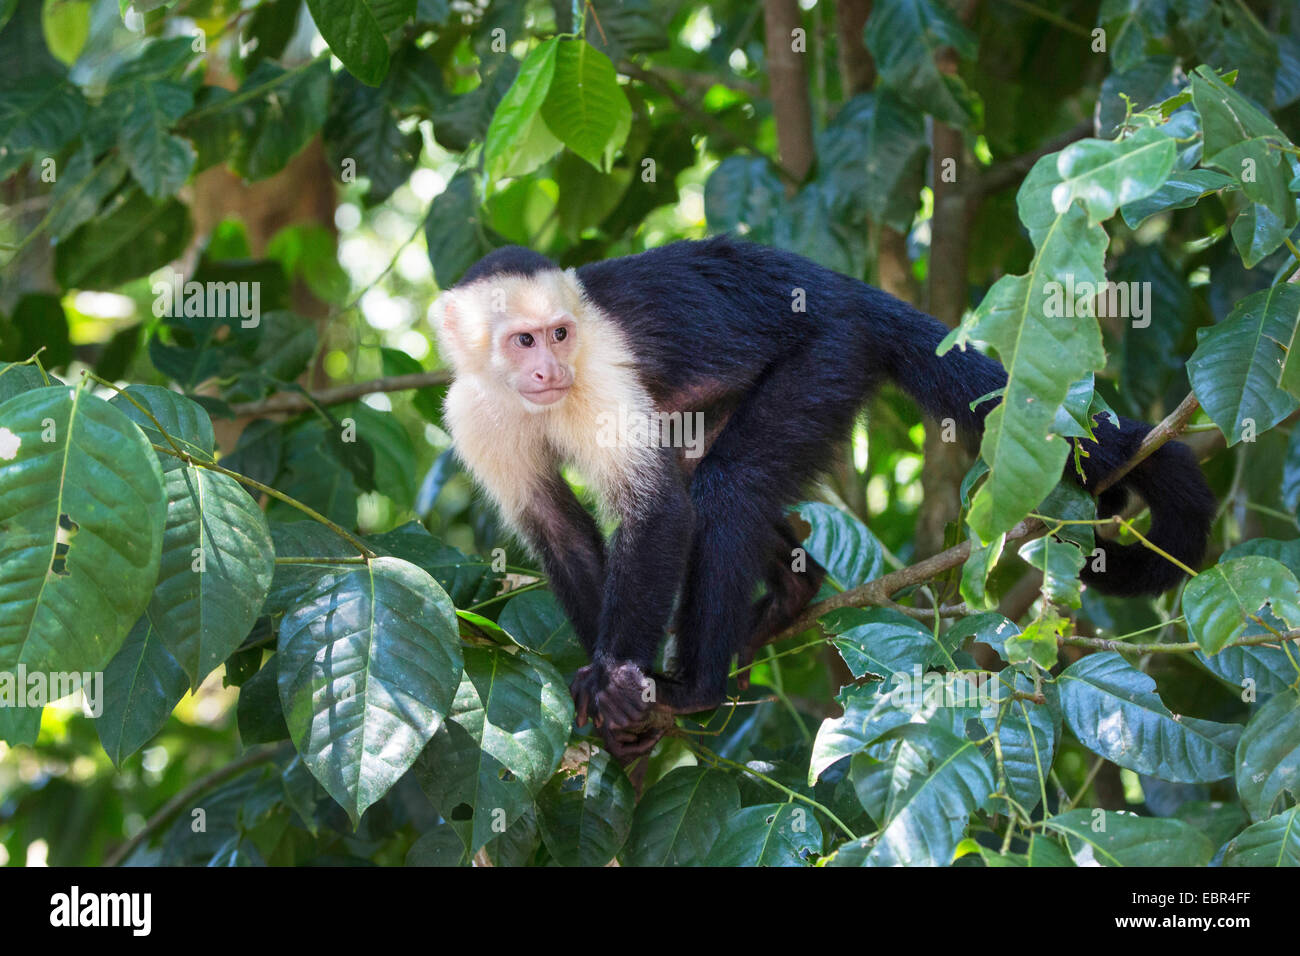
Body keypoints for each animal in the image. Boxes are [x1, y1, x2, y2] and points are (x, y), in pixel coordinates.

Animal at [431, 235, 1211, 759]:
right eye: (523, 341)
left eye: (560, 334)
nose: (550, 370)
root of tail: (842, 287)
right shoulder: (472, 412)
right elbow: (558, 528)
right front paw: (620, 697)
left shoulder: (596, 376)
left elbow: (657, 511)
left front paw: (620, 680)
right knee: (708, 470)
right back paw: (789, 593)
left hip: (831, 353)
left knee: (724, 486)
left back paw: (701, 682)